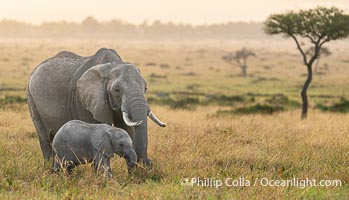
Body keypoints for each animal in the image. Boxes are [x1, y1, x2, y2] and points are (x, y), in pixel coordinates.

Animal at [26, 47, 165, 167]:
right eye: (117, 90)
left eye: (145, 88)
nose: (148, 163)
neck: (112, 65)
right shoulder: (82, 100)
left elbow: (128, 129)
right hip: (32, 100)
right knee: (45, 139)